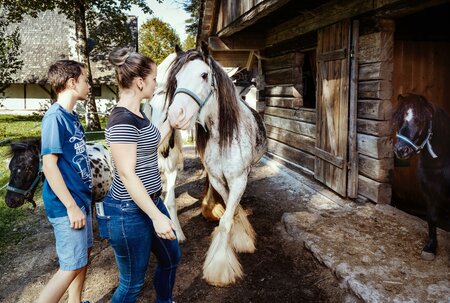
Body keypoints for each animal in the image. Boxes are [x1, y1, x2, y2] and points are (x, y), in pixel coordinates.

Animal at [166, 42, 268, 288]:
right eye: (177, 79)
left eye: (204, 75)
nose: (175, 115)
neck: (223, 135)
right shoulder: (218, 180)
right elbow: (230, 213)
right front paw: (240, 237)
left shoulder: (239, 179)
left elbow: (227, 218)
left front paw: (221, 267)